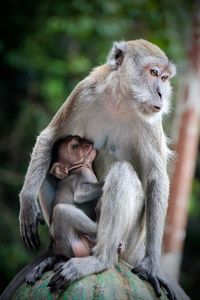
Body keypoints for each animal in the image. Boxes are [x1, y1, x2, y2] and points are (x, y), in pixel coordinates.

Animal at [18, 40, 188, 300]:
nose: (161, 92)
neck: (121, 102)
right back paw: (58, 254)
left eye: (164, 78)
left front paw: (152, 265)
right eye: (153, 73)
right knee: (49, 167)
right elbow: (50, 138)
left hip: (130, 239)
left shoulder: (151, 121)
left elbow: (155, 178)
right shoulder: (84, 91)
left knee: (122, 173)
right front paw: (27, 203)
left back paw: (102, 259)